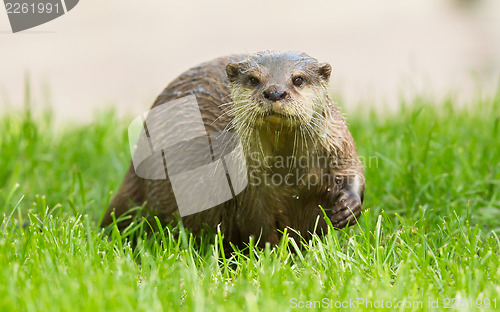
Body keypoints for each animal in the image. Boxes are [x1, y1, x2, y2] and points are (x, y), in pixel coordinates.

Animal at [101, 50, 366, 246]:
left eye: (298, 79)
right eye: (253, 79)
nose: (274, 92)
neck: (288, 176)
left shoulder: (338, 143)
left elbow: (352, 170)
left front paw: (348, 207)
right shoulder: (248, 191)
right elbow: (257, 228)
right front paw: (272, 258)